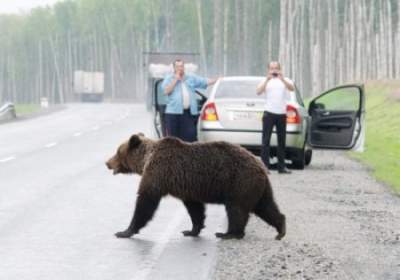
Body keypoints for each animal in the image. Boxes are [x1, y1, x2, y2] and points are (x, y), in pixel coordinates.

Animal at [106, 134, 286, 241]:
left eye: (117, 151)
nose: (107, 162)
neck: (146, 159)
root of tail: (261, 166)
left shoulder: (158, 172)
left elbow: (146, 202)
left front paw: (125, 231)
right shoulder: (187, 186)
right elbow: (195, 208)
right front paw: (192, 230)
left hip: (239, 183)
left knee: (236, 209)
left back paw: (229, 233)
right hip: (257, 187)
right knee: (266, 207)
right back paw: (281, 229)